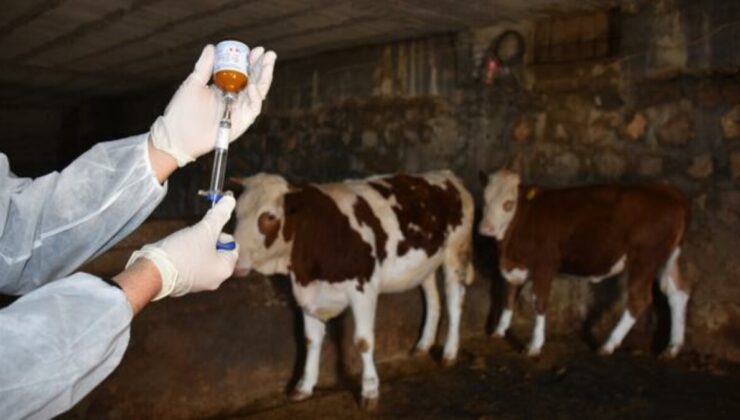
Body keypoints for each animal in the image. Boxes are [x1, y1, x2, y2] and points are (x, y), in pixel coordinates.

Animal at [233, 170, 474, 406]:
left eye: (269, 216)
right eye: (235, 214)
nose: (233, 259)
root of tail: (447, 176)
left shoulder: (364, 289)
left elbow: (363, 341)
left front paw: (369, 391)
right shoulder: (308, 294)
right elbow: (311, 340)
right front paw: (304, 387)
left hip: (455, 253)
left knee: (455, 300)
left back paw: (449, 353)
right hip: (426, 264)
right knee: (433, 299)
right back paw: (423, 344)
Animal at [476, 170, 692, 358]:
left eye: (508, 204)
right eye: (485, 201)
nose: (486, 228)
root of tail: (668, 192)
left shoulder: (545, 264)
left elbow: (539, 302)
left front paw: (534, 345)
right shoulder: (514, 267)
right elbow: (509, 295)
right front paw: (499, 331)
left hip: (644, 259)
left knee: (639, 298)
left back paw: (608, 344)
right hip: (668, 258)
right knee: (677, 292)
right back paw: (672, 347)